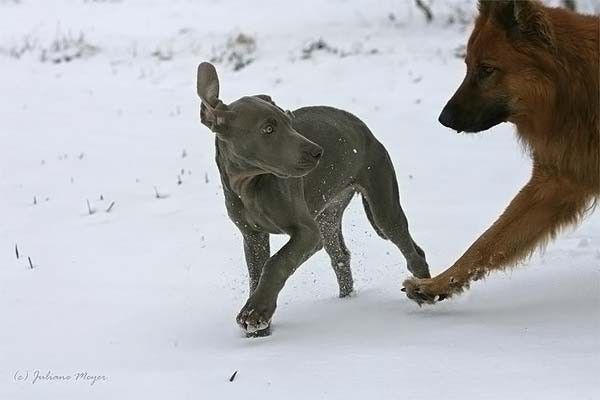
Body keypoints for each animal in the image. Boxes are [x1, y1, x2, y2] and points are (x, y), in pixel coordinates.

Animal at [198, 61, 432, 338]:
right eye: (268, 128)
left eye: (289, 120)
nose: (318, 152)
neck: (249, 185)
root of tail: (362, 127)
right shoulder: (252, 235)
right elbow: (257, 272)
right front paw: (259, 328)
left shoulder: (307, 233)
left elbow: (276, 263)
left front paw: (256, 313)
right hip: (328, 216)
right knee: (340, 257)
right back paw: (346, 301)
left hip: (381, 205)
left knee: (411, 250)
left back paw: (424, 291)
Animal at [404, 0, 600, 304]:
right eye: (467, 66)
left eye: (486, 70)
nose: (443, 119)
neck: (576, 89)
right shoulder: (553, 184)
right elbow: (487, 242)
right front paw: (437, 284)